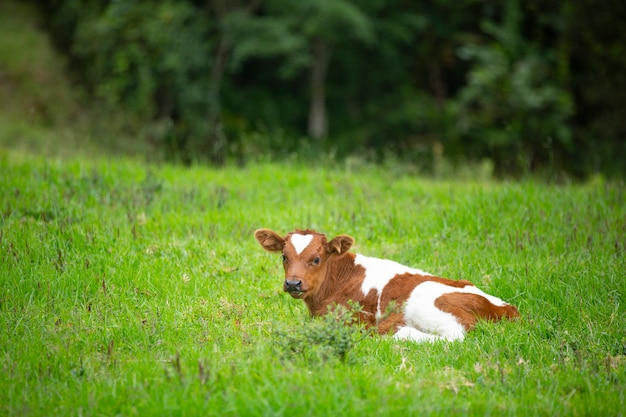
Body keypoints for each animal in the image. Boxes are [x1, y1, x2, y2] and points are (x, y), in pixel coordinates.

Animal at [254, 228, 516, 342]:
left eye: (316, 259)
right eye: (284, 256)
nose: (293, 283)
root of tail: (506, 309)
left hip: (423, 301)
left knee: (454, 335)